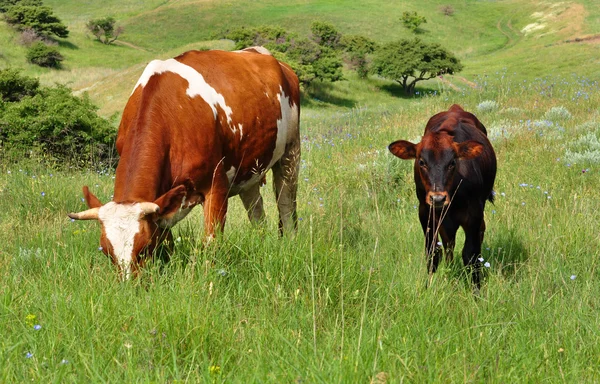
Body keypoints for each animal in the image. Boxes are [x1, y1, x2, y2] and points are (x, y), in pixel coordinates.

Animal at [68, 48, 300, 280]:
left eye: (144, 247)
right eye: (107, 252)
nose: (128, 284)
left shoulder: (216, 185)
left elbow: (211, 243)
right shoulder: (162, 204)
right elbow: (167, 243)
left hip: (291, 152)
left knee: (286, 204)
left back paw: (289, 243)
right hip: (249, 169)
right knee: (256, 210)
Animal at [390, 105, 496, 292]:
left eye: (452, 162)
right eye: (421, 162)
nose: (438, 198)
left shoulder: (474, 214)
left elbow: (471, 253)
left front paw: (476, 290)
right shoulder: (426, 213)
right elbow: (433, 252)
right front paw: (429, 286)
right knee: (448, 244)